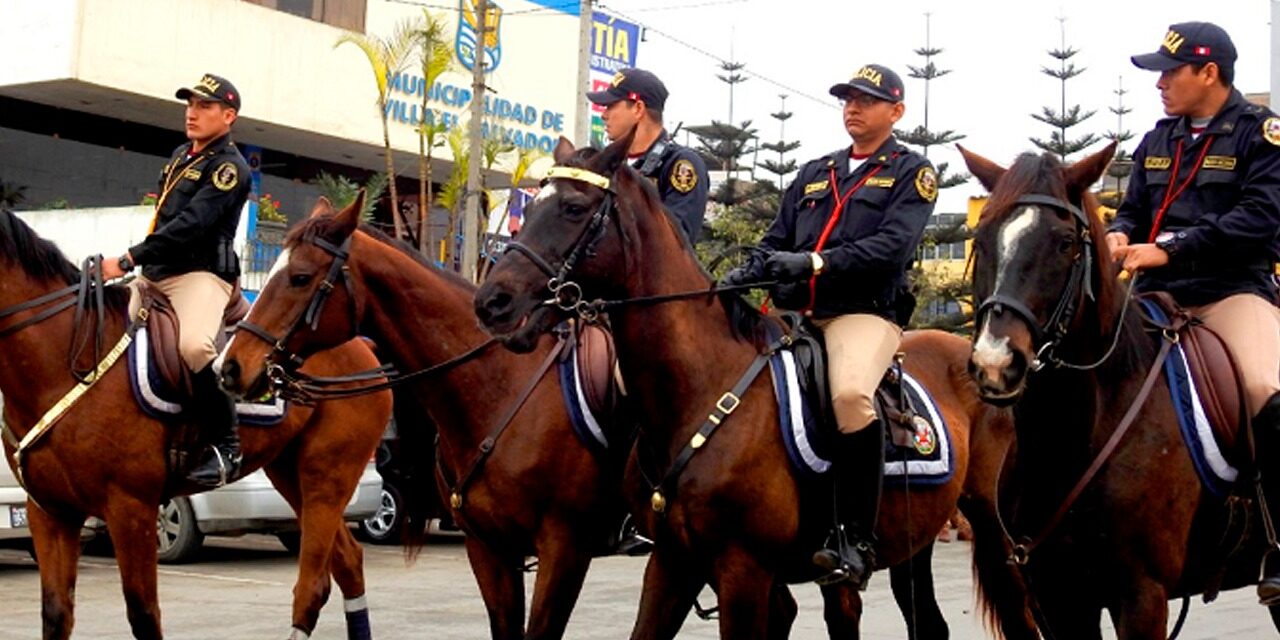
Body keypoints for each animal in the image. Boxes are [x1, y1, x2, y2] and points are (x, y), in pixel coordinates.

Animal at [0, 206, 391, 640]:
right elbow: (56, 615)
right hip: (292, 474)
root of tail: (362, 347)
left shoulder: (130, 507)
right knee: (347, 560)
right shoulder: (50, 511)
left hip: (327, 475)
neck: (68, 358)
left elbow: (143, 615)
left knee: (320, 578)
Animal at [471, 137, 1029, 637]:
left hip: (987, 520)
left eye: (572, 207)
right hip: (912, 540)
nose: (492, 302)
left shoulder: (743, 570)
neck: (700, 386)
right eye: (532, 204)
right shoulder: (673, 561)